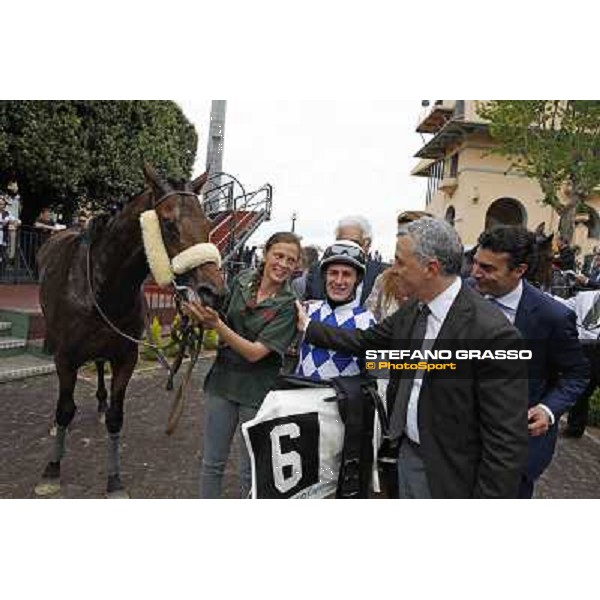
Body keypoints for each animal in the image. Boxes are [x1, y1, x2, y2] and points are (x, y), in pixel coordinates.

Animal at [35, 164, 227, 496]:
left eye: (207, 223)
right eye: (168, 222)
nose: (213, 292)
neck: (101, 287)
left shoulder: (126, 355)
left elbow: (116, 416)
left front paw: (114, 480)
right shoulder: (66, 357)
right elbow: (64, 409)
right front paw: (52, 469)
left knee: (100, 365)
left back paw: (100, 402)